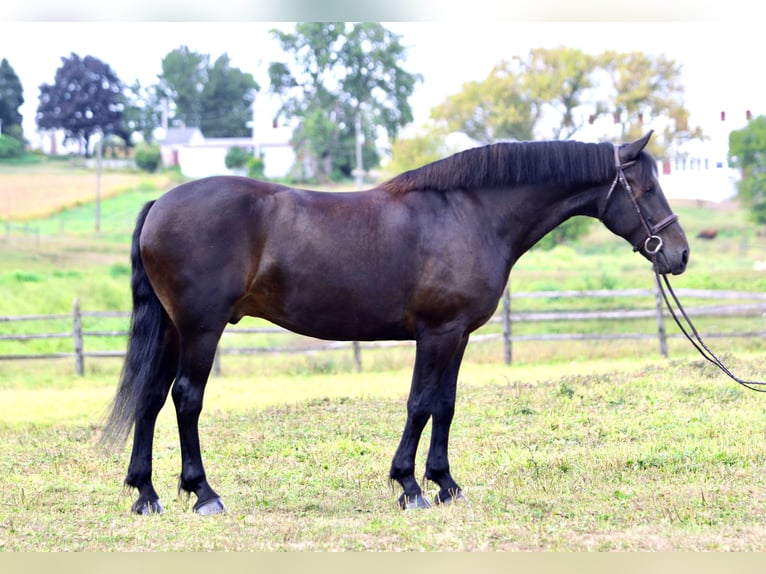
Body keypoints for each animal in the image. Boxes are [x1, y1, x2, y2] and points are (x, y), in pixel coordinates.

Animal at [102, 131, 689, 514]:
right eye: (646, 189)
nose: (678, 254)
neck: (468, 213)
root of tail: (159, 205)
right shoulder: (436, 333)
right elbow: (420, 404)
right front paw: (410, 487)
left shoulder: (457, 336)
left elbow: (445, 405)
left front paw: (446, 484)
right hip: (201, 329)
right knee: (186, 399)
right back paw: (203, 493)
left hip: (173, 329)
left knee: (150, 398)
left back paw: (146, 494)